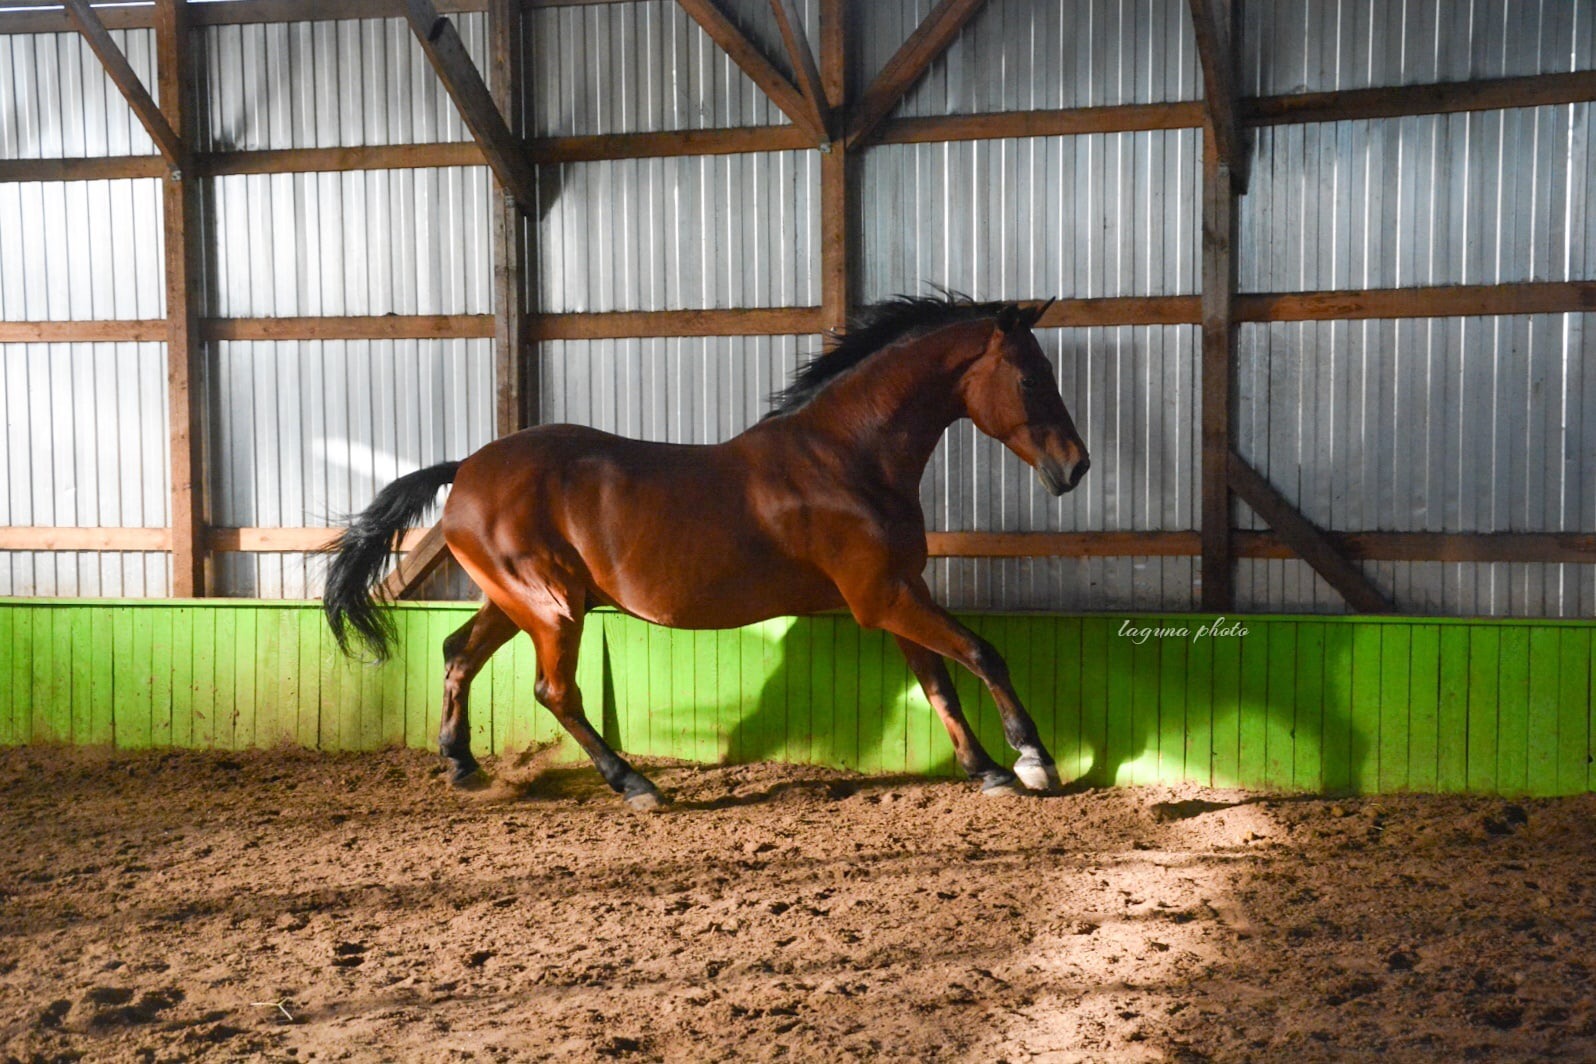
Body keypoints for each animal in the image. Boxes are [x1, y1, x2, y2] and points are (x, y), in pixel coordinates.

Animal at [323, 293, 1090, 809]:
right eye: (1030, 378)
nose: (1074, 468)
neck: (847, 459)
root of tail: (465, 471)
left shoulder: (902, 594)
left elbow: (940, 683)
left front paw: (987, 770)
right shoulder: (884, 598)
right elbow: (982, 654)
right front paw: (1035, 760)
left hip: (514, 602)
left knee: (457, 654)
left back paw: (464, 766)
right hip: (552, 609)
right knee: (554, 691)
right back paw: (634, 784)